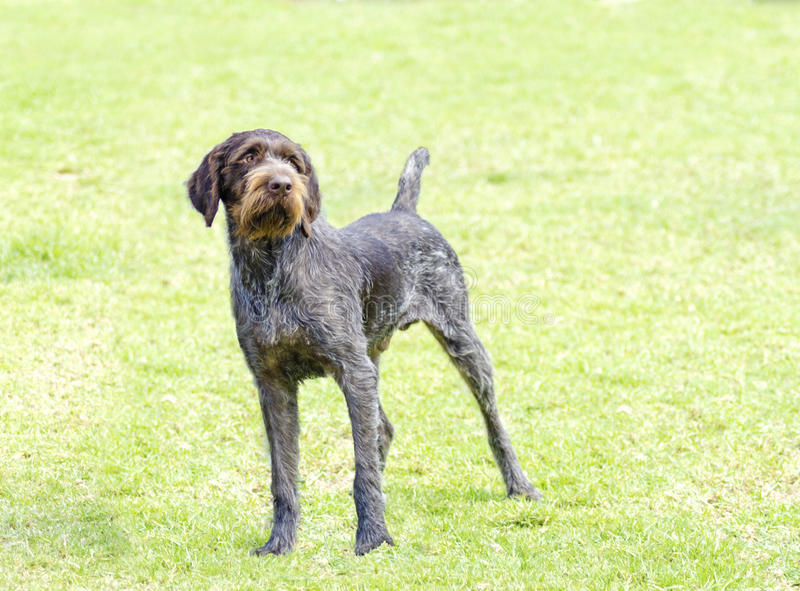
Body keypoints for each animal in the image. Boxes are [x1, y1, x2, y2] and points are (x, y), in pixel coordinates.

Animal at [184, 128, 540, 556]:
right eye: (249, 158)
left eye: (293, 163)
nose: (282, 184)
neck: (272, 264)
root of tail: (405, 212)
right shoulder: (273, 385)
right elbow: (283, 475)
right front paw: (280, 541)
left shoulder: (352, 372)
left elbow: (363, 470)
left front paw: (373, 537)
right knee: (382, 429)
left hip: (461, 343)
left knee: (492, 422)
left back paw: (519, 485)